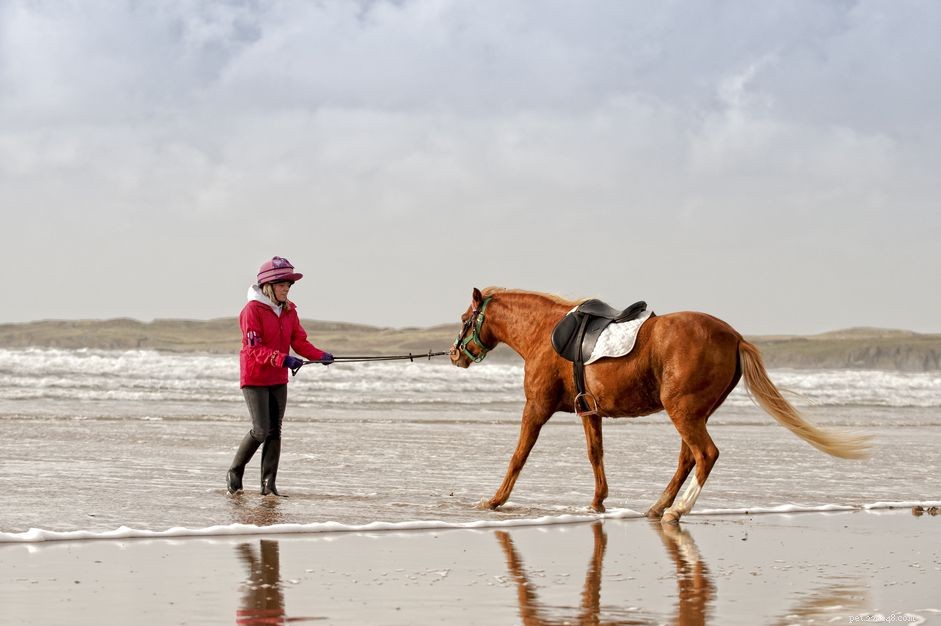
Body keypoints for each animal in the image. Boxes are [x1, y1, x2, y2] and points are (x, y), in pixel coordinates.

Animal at [449, 287, 871, 524]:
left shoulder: (536, 408)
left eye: (466, 317)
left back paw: (676, 510)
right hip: (693, 412)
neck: (544, 333)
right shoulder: (590, 412)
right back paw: (658, 506)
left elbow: (518, 455)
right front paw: (598, 503)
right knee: (689, 458)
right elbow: (595, 455)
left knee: (706, 455)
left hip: (683, 411)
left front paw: (494, 501)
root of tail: (734, 336)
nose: (455, 354)